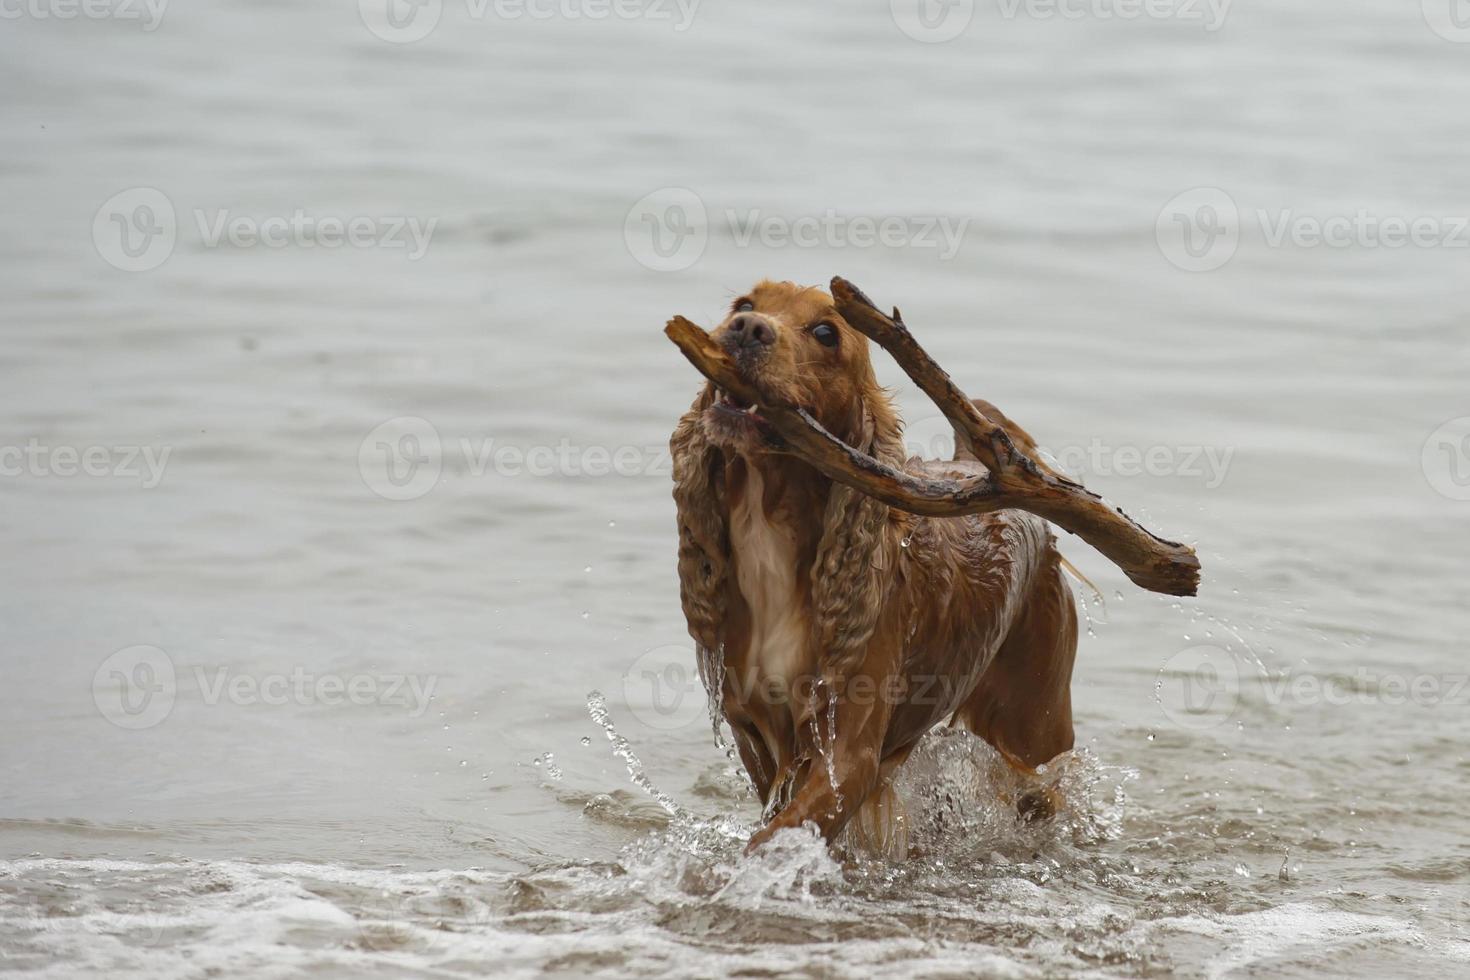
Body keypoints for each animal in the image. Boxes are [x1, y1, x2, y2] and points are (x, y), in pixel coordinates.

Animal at [670, 279, 1081, 852]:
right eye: (745, 306)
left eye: (826, 333)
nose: (747, 330)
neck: (769, 532)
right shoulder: (753, 727)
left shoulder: (849, 751)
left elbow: (777, 834)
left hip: (1037, 725)